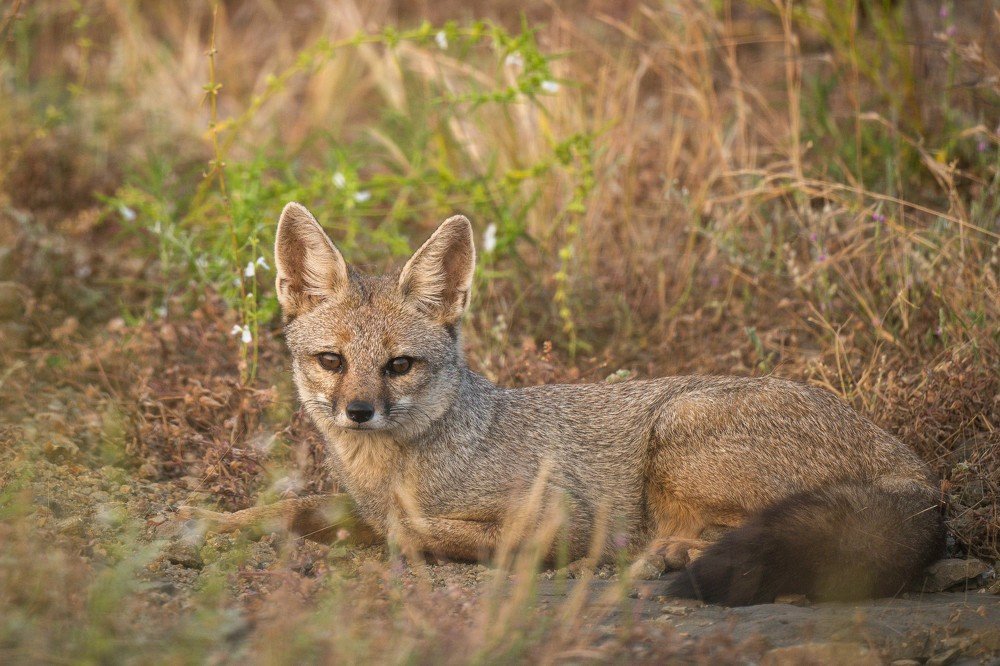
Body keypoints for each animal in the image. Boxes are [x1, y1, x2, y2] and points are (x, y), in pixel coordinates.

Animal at [181, 201, 946, 606]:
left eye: (398, 365)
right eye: (332, 362)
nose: (358, 412)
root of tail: (914, 467)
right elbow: (291, 507)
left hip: (678, 430)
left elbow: (407, 527)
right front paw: (210, 527)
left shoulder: (556, 511)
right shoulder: (349, 501)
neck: (397, 469)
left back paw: (655, 559)